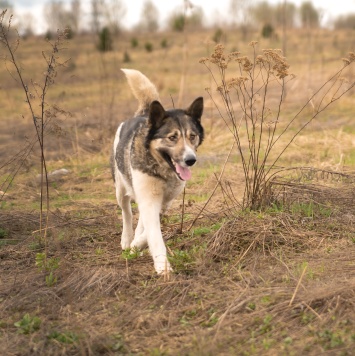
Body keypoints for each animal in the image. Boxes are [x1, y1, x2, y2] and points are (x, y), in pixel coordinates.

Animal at [112, 70, 204, 276]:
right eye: (172, 137)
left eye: (192, 136)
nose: (190, 160)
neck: (162, 170)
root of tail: (145, 113)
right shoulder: (149, 197)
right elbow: (153, 233)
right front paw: (163, 267)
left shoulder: (164, 202)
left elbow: (149, 228)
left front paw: (138, 245)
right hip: (120, 187)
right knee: (126, 211)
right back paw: (127, 238)